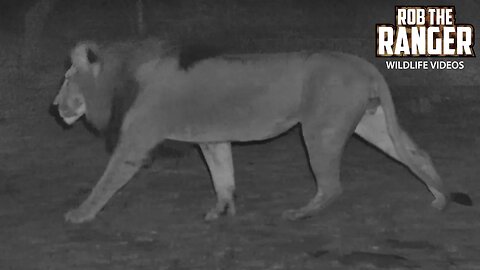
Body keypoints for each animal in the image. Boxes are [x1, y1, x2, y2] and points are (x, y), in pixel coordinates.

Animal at [50, 38, 470, 224]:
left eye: (68, 78)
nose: (54, 106)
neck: (122, 77)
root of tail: (362, 63)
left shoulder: (136, 141)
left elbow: (106, 181)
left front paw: (80, 214)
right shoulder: (213, 138)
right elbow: (223, 176)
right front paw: (222, 210)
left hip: (320, 129)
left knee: (332, 185)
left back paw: (301, 213)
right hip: (372, 122)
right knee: (416, 154)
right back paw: (440, 198)